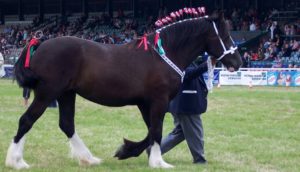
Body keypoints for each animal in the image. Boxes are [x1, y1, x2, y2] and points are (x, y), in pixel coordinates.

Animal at [5, 9, 243, 169]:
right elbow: (156, 131)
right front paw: (157, 162)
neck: (161, 55)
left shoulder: (145, 103)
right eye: (225, 35)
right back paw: (16, 161)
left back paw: (88, 158)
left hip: (66, 94)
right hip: (48, 94)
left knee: (66, 124)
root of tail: (40, 44)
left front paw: (129, 151)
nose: (238, 61)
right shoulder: (158, 101)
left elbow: (152, 131)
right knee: (26, 120)